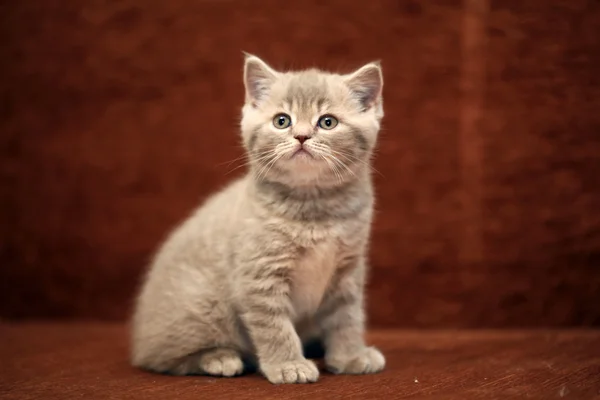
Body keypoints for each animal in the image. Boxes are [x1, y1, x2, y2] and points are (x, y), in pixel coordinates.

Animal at [130, 54, 384, 384]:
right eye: (282, 121)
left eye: (328, 122)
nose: (301, 136)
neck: (314, 208)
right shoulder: (260, 275)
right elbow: (273, 326)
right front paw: (289, 365)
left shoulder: (348, 270)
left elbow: (347, 317)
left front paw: (350, 355)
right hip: (199, 305)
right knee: (162, 358)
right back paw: (219, 358)